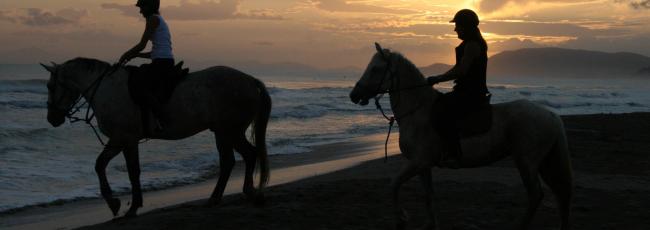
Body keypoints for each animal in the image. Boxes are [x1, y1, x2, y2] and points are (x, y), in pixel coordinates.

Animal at [40, 58, 270, 217]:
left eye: (50, 86)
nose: (52, 118)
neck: (108, 90)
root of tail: (250, 81)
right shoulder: (123, 141)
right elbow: (110, 167)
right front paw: (121, 204)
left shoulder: (123, 138)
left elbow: (123, 170)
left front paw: (125, 206)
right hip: (226, 132)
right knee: (240, 158)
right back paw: (234, 194)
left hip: (228, 131)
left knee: (239, 158)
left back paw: (231, 194)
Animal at [346, 43, 568, 230]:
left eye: (375, 69)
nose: (354, 95)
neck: (417, 111)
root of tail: (551, 115)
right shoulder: (423, 165)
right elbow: (428, 196)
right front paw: (431, 224)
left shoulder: (418, 161)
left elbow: (393, 184)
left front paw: (401, 218)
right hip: (542, 162)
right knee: (557, 193)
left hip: (526, 162)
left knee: (536, 195)